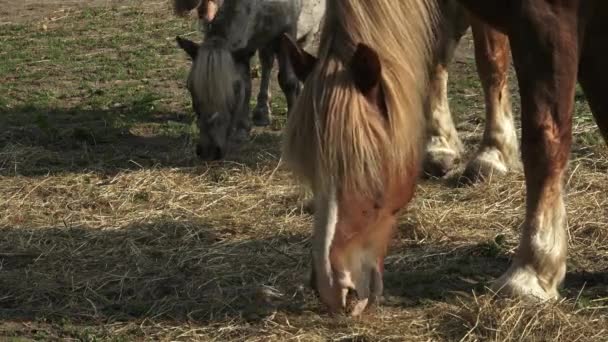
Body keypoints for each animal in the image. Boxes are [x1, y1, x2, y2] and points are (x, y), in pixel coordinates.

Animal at [173, 0, 326, 160]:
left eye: (234, 90)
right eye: (190, 87)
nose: (208, 151)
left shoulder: (287, 33)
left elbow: (287, 81)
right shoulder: (247, 47)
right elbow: (247, 85)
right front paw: (242, 129)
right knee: (267, 61)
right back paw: (262, 111)